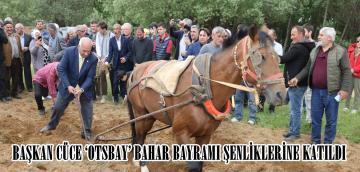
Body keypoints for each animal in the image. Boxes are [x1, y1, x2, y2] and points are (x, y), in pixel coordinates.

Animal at [126, 27, 286, 171]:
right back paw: (142, 165)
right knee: (140, 136)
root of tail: (136, 69)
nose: (281, 94)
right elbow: (193, 166)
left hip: (150, 115)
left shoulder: (205, 135)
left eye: (278, 57)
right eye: (262, 57)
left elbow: (199, 164)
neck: (202, 89)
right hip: (141, 115)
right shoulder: (181, 133)